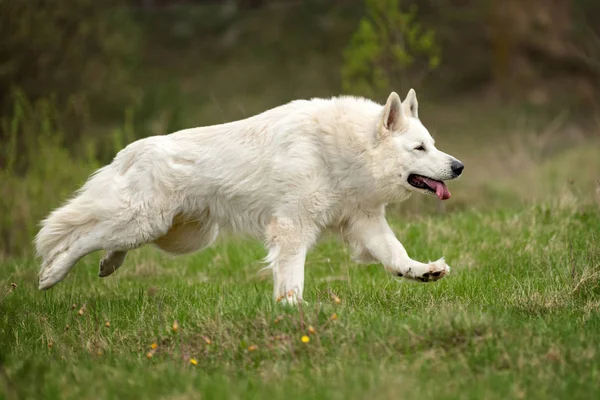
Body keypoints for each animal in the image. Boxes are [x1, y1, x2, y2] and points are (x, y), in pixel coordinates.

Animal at [36, 90, 464, 304]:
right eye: (419, 148)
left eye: (433, 144)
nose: (458, 166)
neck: (344, 150)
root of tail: (132, 149)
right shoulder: (292, 227)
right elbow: (292, 275)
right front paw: (292, 309)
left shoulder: (366, 223)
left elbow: (396, 255)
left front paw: (422, 271)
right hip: (143, 222)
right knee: (81, 237)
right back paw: (51, 274)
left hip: (179, 235)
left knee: (107, 242)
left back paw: (108, 264)